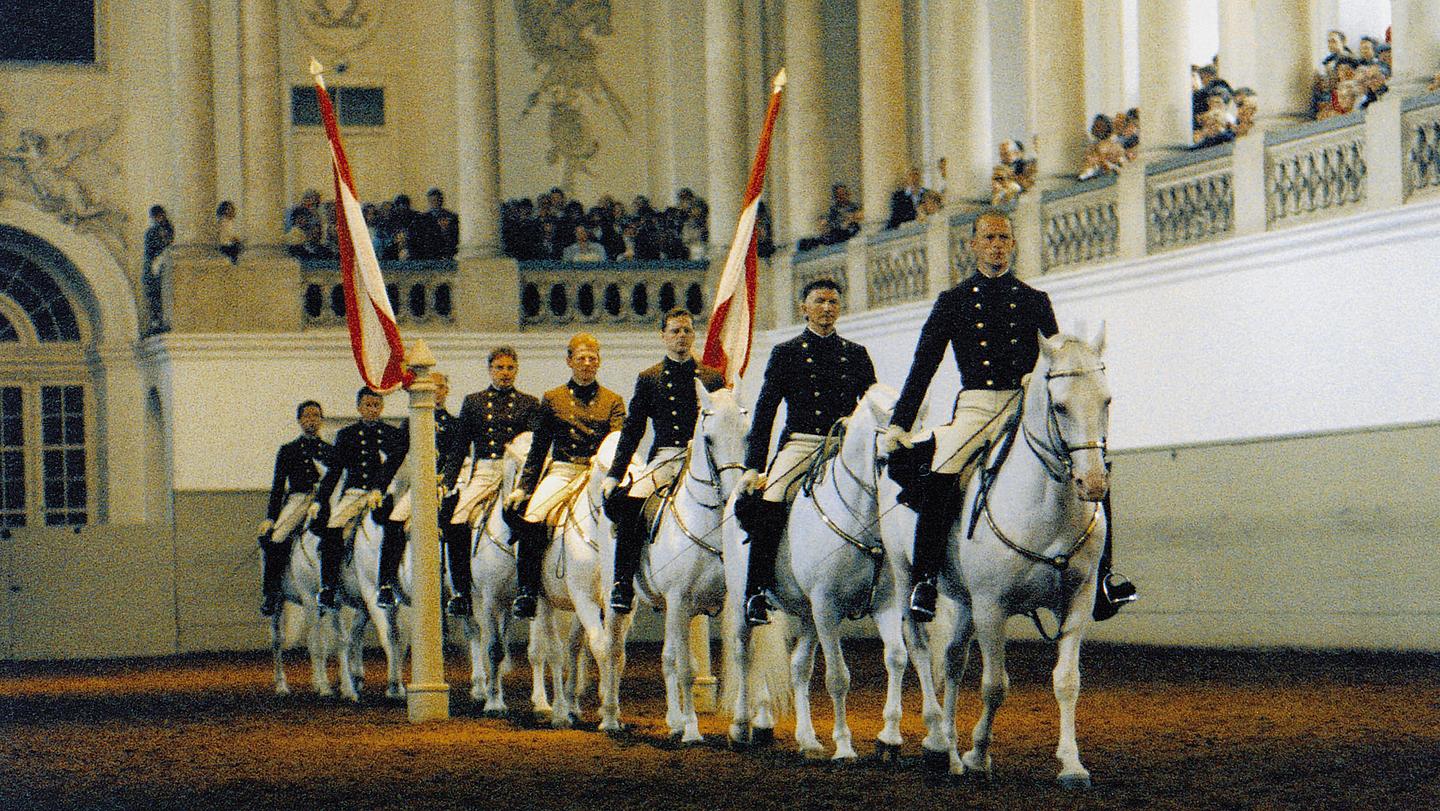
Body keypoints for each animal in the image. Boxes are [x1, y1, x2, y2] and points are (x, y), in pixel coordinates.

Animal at [633, 383, 754, 743]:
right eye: (709, 439)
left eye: (746, 434)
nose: (732, 495)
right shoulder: (679, 600)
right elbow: (686, 667)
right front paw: (692, 730)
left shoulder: (734, 600)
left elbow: (741, 655)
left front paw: (743, 725)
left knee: (667, 657)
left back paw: (673, 720)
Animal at [725, 383, 915, 760]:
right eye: (884, 459)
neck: (860, 518)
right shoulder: (827, 607)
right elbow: (838, 677)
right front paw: (844, 746)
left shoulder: (884, 605)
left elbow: (897, 658)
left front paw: (889, 739)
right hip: (746, 603)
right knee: (743, 655)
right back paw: (740, 727)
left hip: (805, 613)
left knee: (799, 667)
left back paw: (808, 740)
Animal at [921, 329, 1111, 789]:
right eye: (1060, 406)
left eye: (1106, 401)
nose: (1093, 483)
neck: (1047, 507)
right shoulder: (992, 607)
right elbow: (995, 686)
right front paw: (978, 756)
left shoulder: (1077, 601)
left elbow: (1067, 681)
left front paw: (1072, 765)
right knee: (914, 654)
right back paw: (934, 744)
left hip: (964, 601)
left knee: (952, 660)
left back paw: (947, 747)